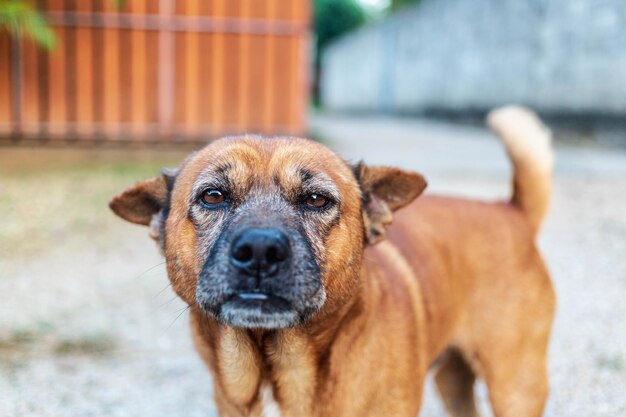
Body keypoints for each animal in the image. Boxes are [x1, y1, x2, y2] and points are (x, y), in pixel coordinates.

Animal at [109, 107, 552, 416]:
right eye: (213, 196)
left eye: (316, 199)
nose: (260, 251)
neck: (275, 367)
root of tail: (510, 210)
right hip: (455, 378)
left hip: (516, 385)